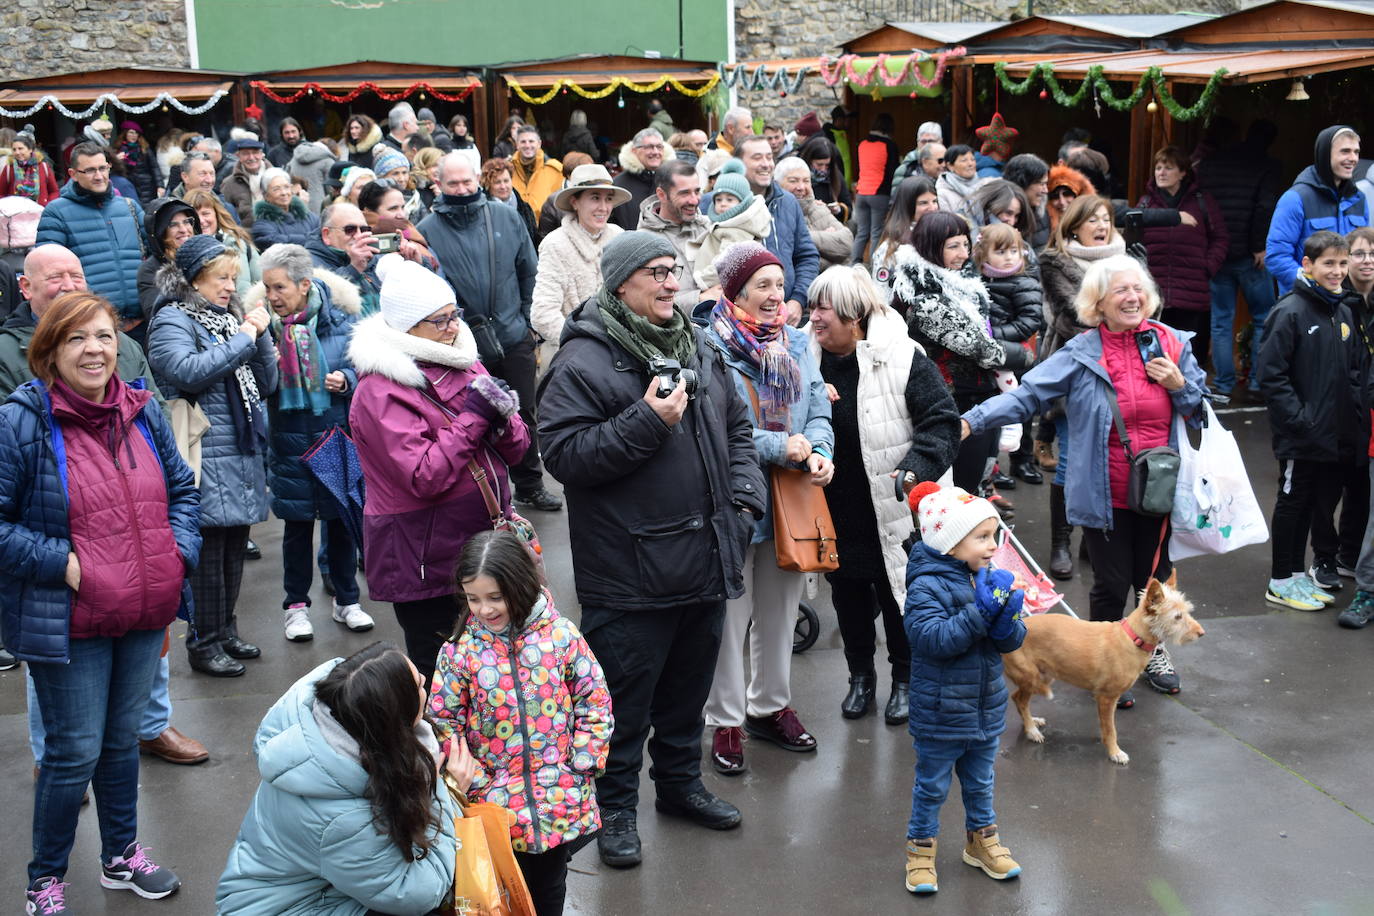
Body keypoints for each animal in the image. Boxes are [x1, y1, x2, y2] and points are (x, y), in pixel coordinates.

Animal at [1000, 574, 1203, 769]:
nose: (1202, 633)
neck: (1132, 638)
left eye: (1187, 612)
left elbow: (1105, 725)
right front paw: (1115, 752)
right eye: (1177, 617)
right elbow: (1111, 729)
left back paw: (1032, 721)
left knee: (1017, 698)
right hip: (1030, 677)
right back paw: (1032, 731)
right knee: (1020, 700)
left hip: (1043, 676)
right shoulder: (1107, 697)